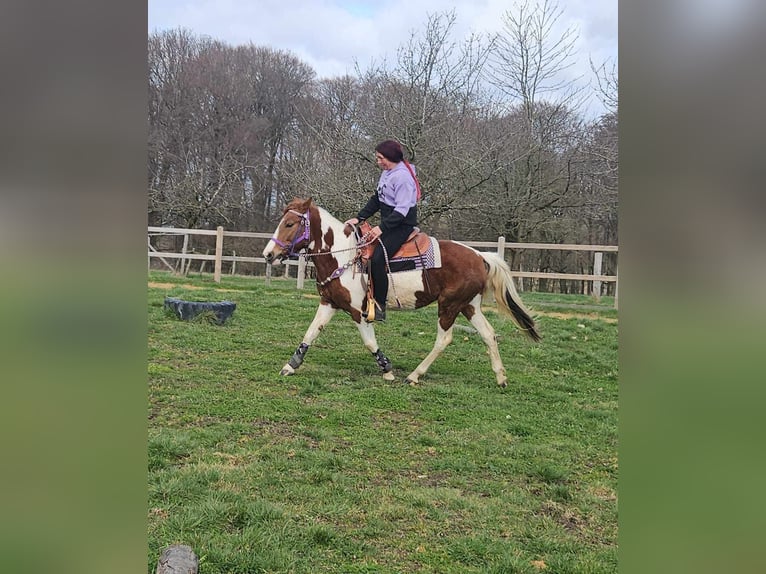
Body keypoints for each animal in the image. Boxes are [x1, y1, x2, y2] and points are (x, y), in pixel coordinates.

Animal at [262, 197, 541, 387]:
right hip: (468, 305)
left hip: (449, 306)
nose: (268, 254)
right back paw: (500, 378)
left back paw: (415, 375)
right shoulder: (329, 302)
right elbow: (311, 332)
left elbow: (369, 341)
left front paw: (387, 369)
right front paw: (291, 365)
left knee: (444, 339)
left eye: (290, 223)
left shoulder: (358, 311)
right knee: (489, 334)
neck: (344, 254)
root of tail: (480, 256)